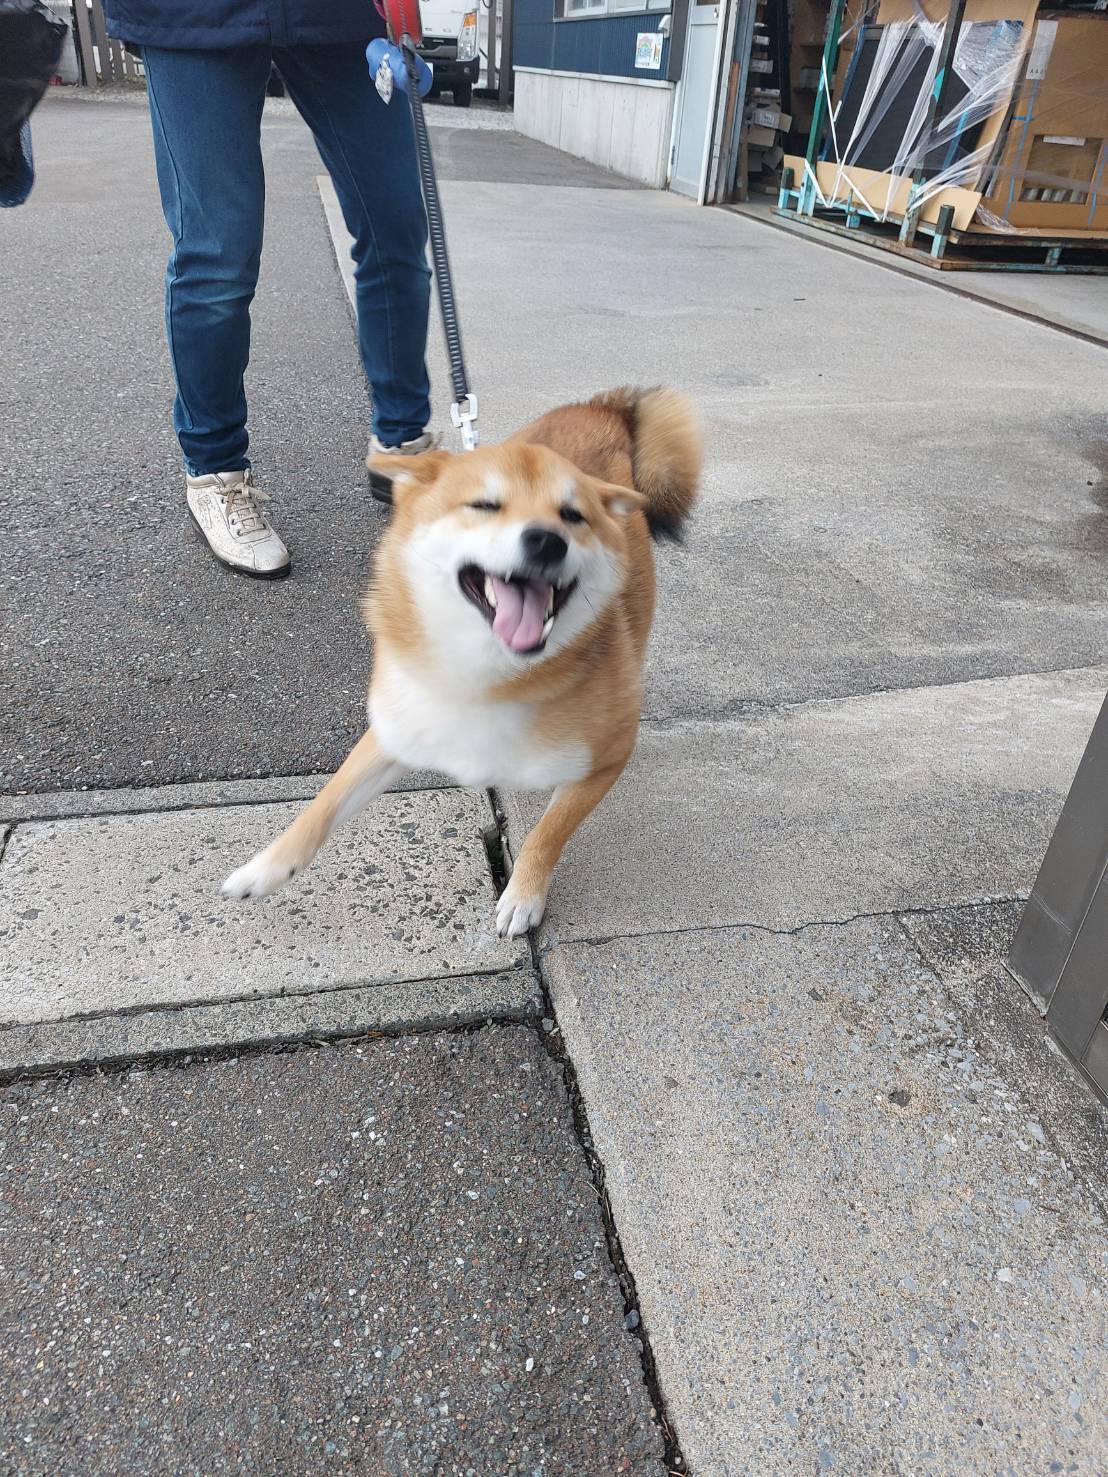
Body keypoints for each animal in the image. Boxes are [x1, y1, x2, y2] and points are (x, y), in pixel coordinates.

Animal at [224, 389, 703, 933]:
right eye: (485, 505)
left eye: (573, 516)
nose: (547, 539)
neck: (486, 678)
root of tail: (597, 406)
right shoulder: (396, 727)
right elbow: (322, 804)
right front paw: (264, 869)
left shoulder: (607, 758)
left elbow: (548, 832)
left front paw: (524, 895)